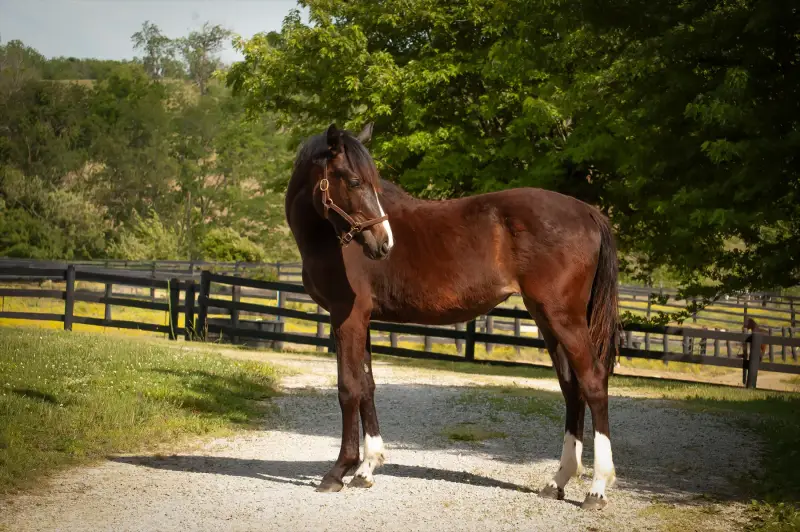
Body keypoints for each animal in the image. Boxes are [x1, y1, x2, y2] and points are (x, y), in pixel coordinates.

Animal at [285, 122, 621, 510]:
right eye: (355, 181)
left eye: (370, 182)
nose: (384, 244)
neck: (328, 236)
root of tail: (588, 212)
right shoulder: (362, 319)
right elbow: (367, 386)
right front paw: (366, 470)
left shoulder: (347, 316)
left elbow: (348, 388)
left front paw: (339, 471)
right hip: (547, 319)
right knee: (571, 387)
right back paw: (559, 481)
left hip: (564, 318)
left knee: (593, 381)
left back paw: (597, 488)